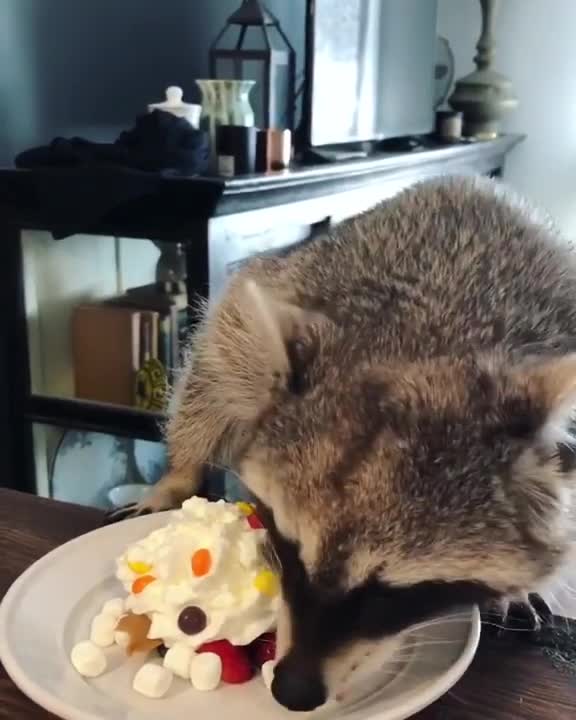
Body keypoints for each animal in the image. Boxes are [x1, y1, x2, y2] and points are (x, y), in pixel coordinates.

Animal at [119, 176, 576, 711]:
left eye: (387, 594)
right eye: (288, 546)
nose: (291, 690)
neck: (431, 342)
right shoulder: (276, 304)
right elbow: (214, 365)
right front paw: (178, 473)